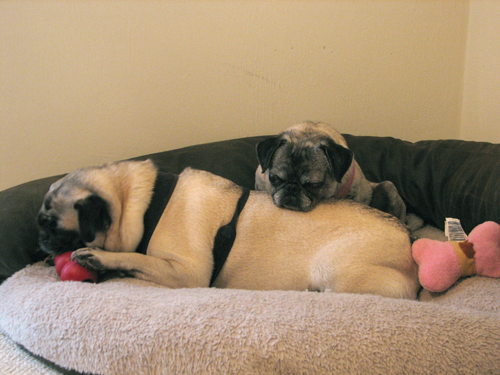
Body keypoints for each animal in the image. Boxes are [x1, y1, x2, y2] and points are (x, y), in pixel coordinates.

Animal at [37, 159, 418, 300]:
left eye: (52, 225)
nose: (41, 240)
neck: (144, 204)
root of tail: (409, 246)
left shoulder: (188, 273)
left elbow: (136, 259)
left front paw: (99, 257)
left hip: (332, 271)